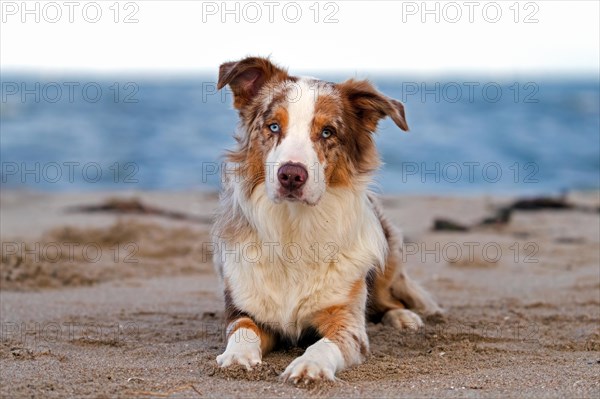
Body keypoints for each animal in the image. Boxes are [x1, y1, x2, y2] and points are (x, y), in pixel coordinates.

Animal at [212, 57, 440, 384]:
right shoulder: (244, 310)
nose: (291, 175)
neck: (294, 230)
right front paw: (236, 356)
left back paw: (403, 317)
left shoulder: (348, 322)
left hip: (389, 251)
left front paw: (310, 366)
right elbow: (243, 331)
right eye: (273, 126)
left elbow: (325, 344)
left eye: (327, 132)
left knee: (388, 300)